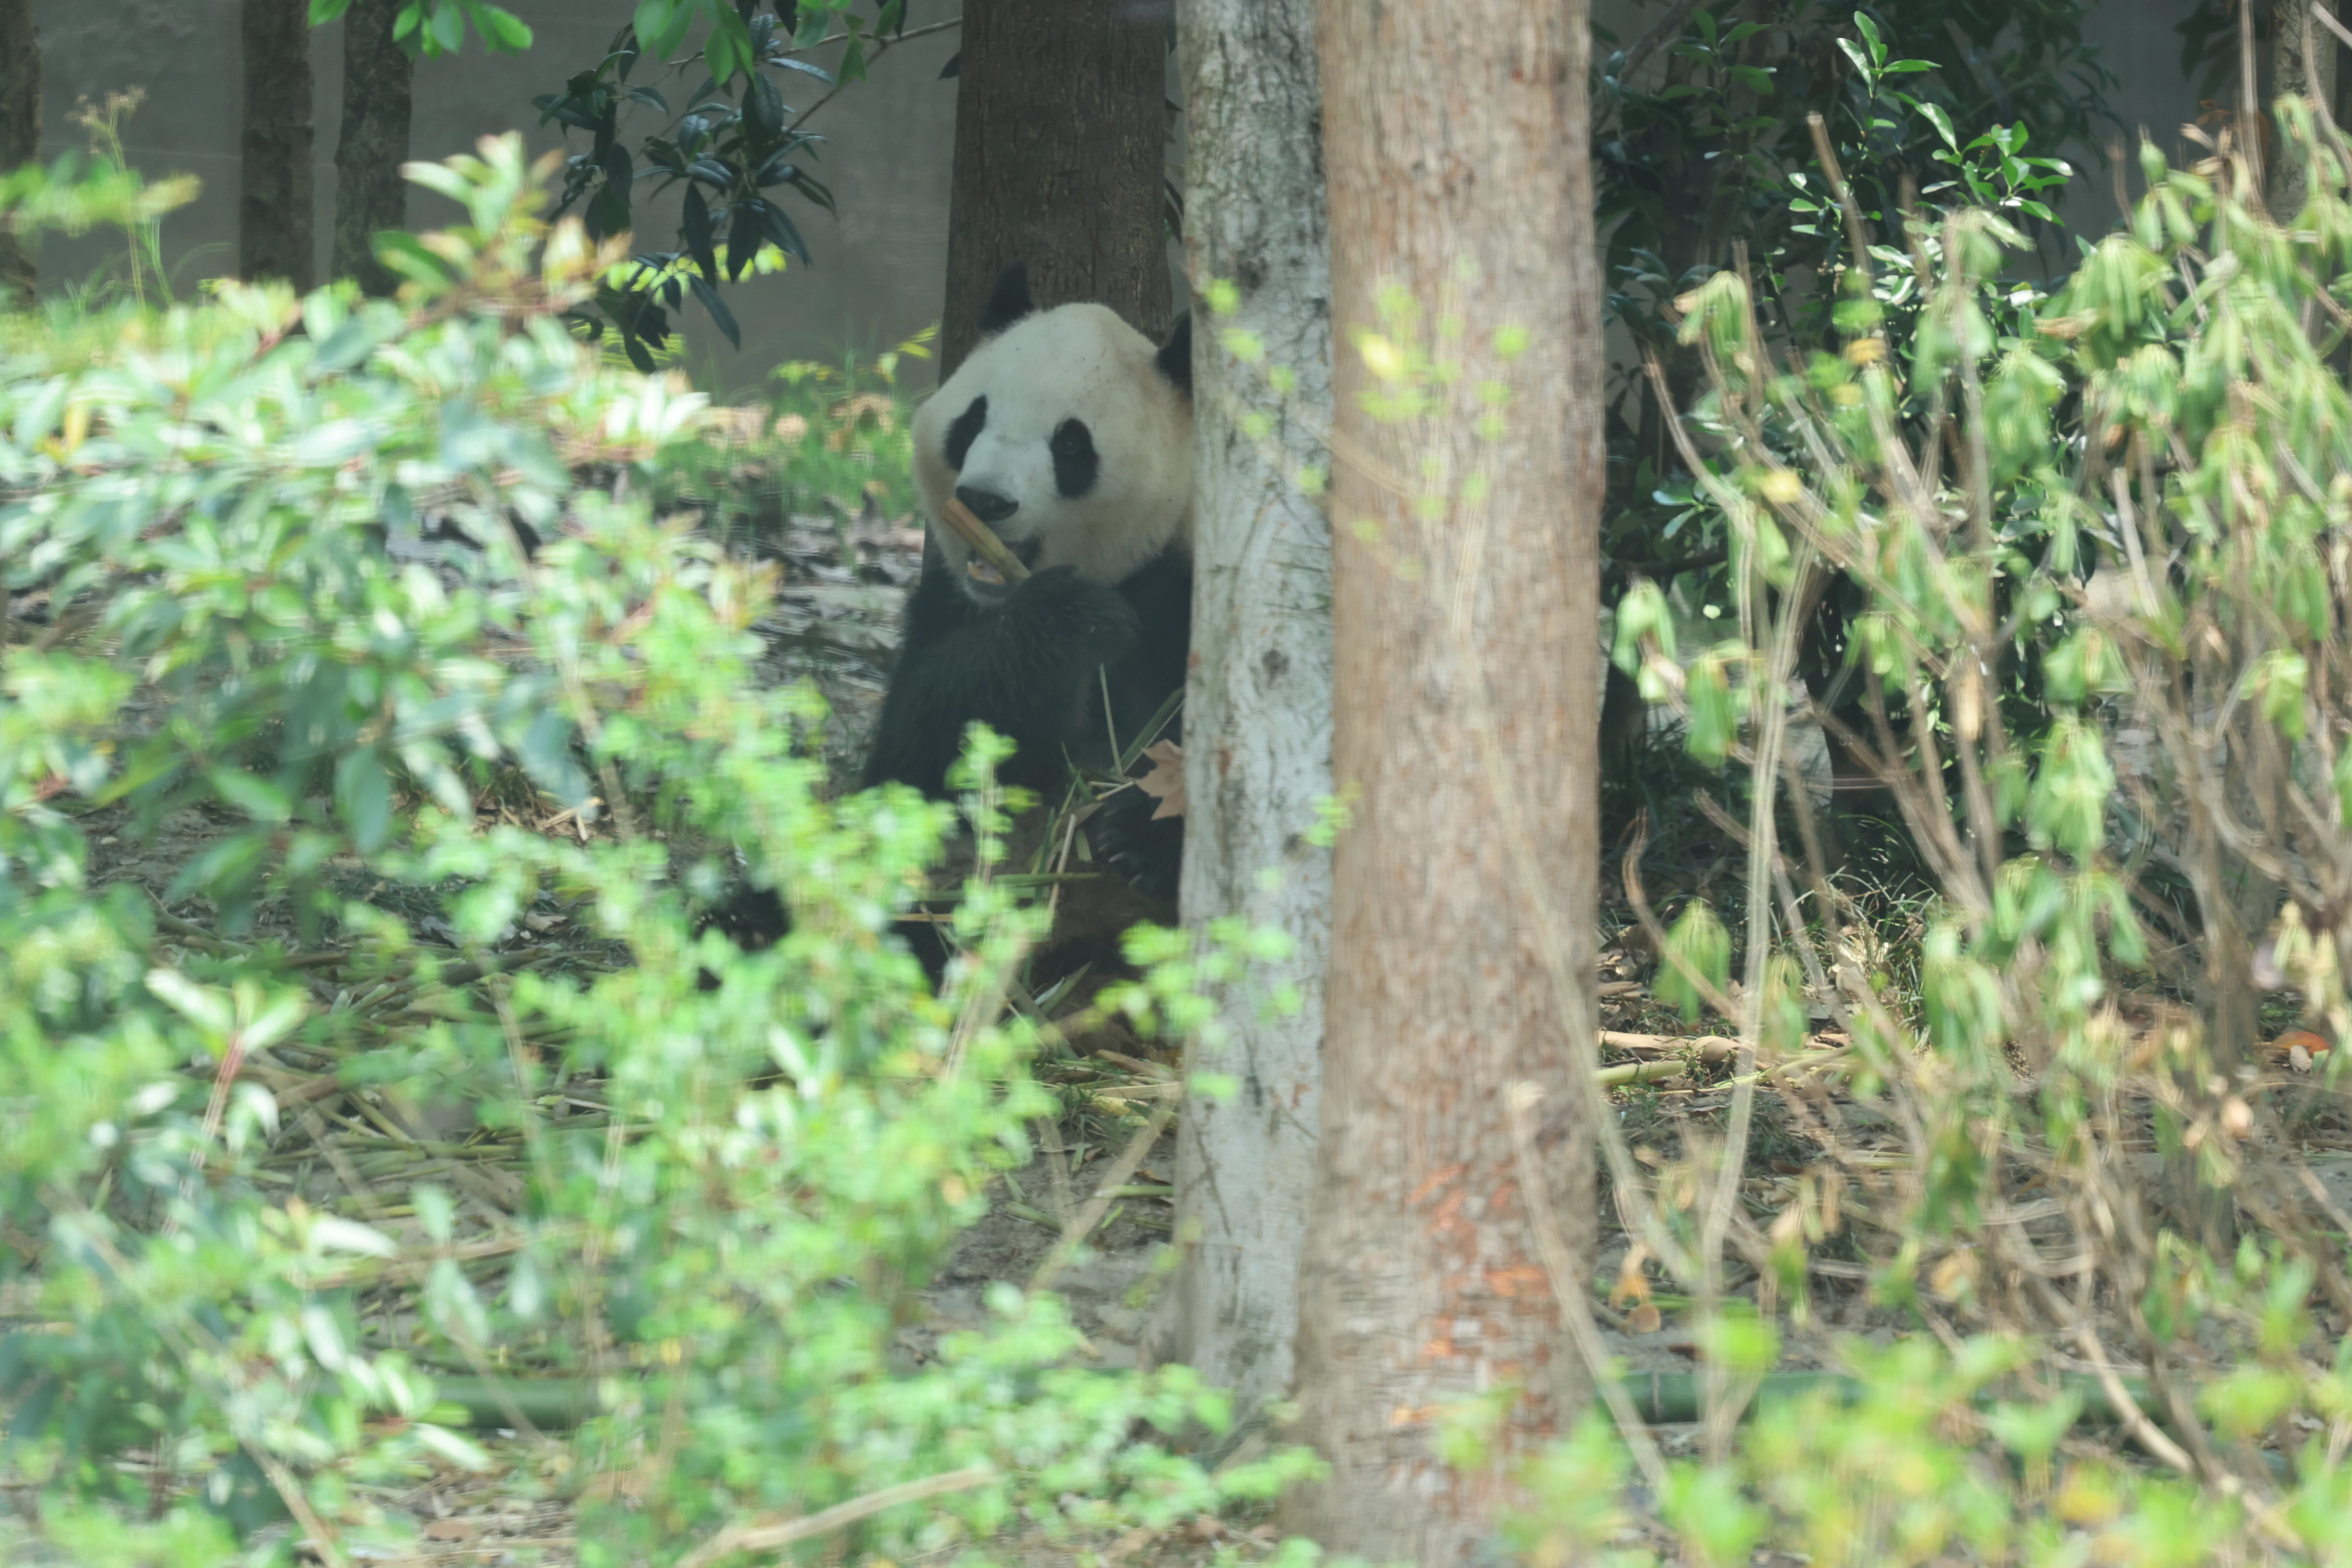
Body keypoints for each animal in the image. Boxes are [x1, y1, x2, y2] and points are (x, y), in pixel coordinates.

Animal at [860, 262, 1193, 905]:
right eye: (972, 420)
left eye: (1071, 444)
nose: (984, 501)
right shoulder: (948, 603)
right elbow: (914, 760)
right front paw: (1072, 619)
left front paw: (1138, 837)